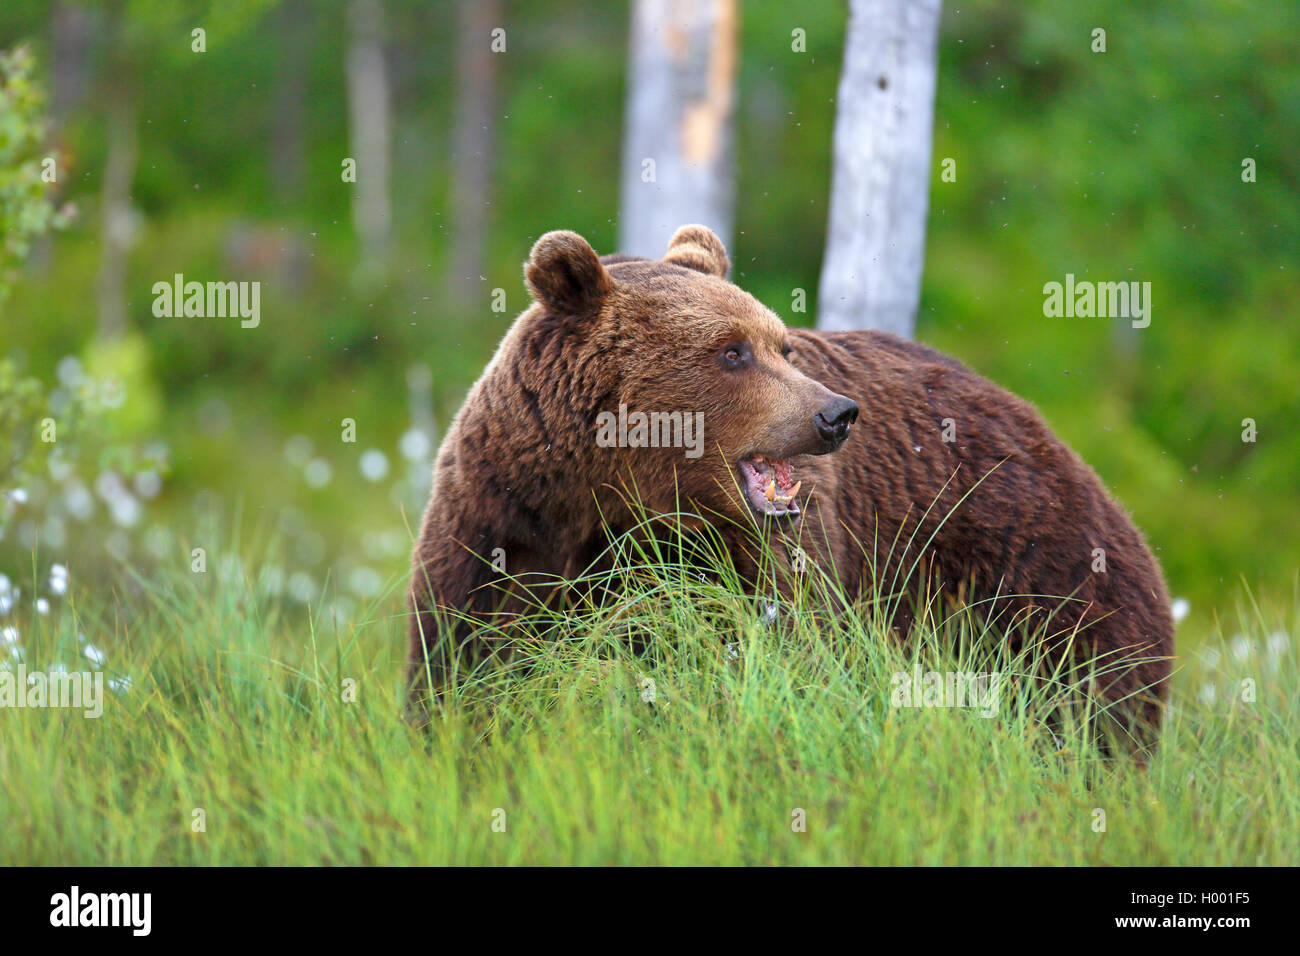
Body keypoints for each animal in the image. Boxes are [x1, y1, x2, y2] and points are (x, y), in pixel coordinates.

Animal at [410, 227, 1175, 749]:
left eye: (781, 343)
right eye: (731, 351)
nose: (835, 414)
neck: (616, 495)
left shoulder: (760, 552)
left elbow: (780, 654)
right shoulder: (505, 515)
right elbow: (464, 655)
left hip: (1042, 585)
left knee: (1086, 712)